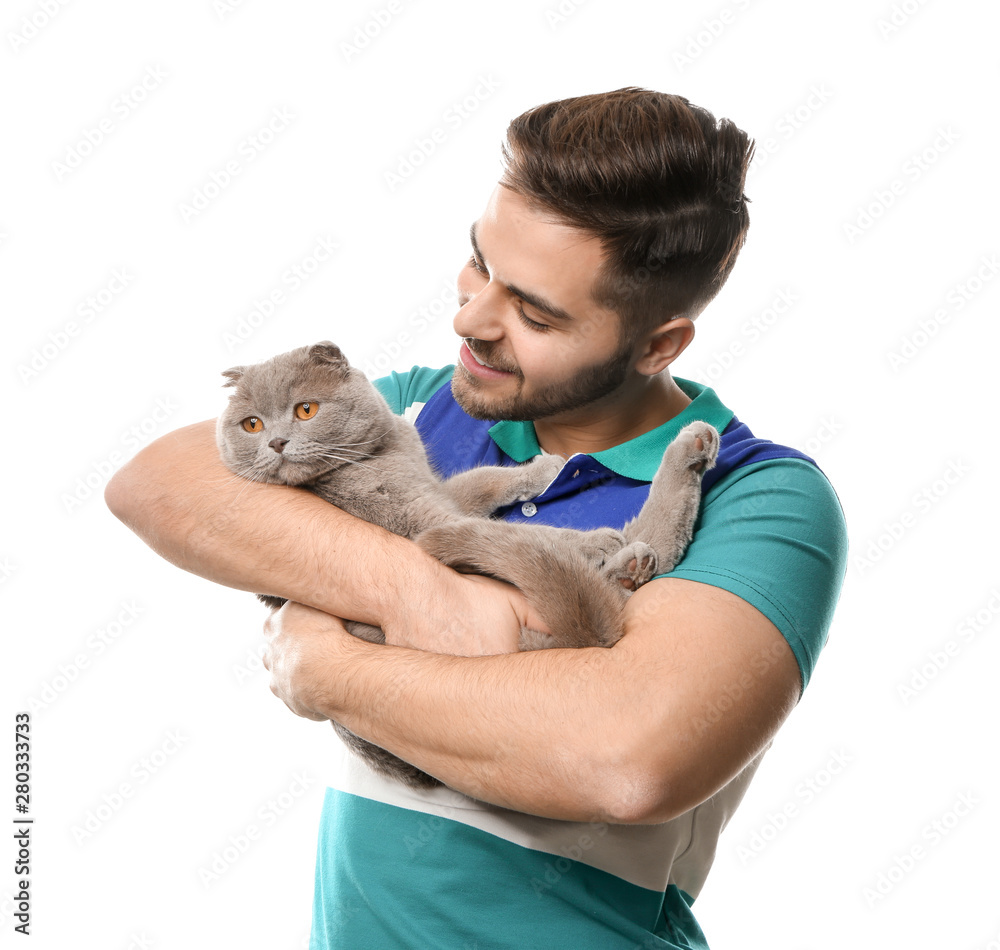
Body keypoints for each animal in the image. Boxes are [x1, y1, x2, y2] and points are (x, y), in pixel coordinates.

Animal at [219, 340, 720, 788]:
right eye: (251, 424)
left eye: (305, 410)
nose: (275, 441)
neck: (381, 456)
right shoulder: (419, 521)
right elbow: (523, 531)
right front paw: (593, 539)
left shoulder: (437, 490)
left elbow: (482, 480)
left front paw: (543, 469)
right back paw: (646, 524)